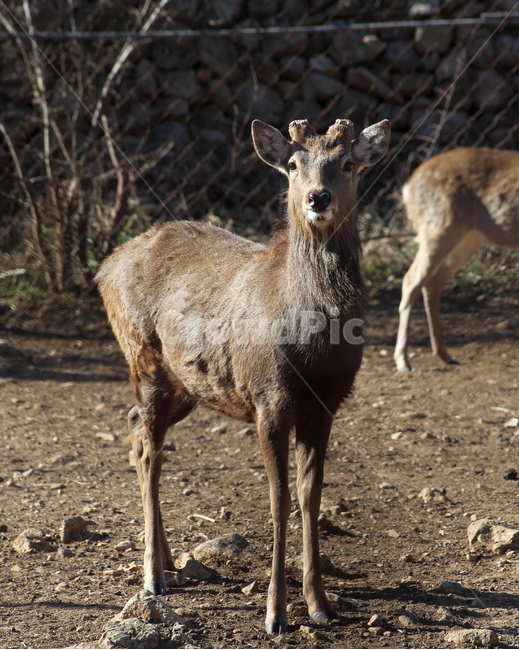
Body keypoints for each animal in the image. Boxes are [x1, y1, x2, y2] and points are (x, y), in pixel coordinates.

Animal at [96, 116, 391, 634]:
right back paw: (153, 576)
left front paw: (320, 604)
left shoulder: (326, 406)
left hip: (186, 386)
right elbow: (278, 500)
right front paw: (275, 615)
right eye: (292, 164)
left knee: (135, 431)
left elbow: (310, 497)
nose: (318, 198)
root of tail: (104, 267)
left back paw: (168, 558)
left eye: (348, 163)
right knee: (149, 450)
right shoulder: (268, 399)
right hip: (143, 358)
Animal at [394, 147, 519, 373]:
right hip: (438, 227)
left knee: (432, 283)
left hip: (468, 236)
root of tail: (408, 187)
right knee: (411, 281)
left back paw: (444, 354)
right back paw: (403, 361)